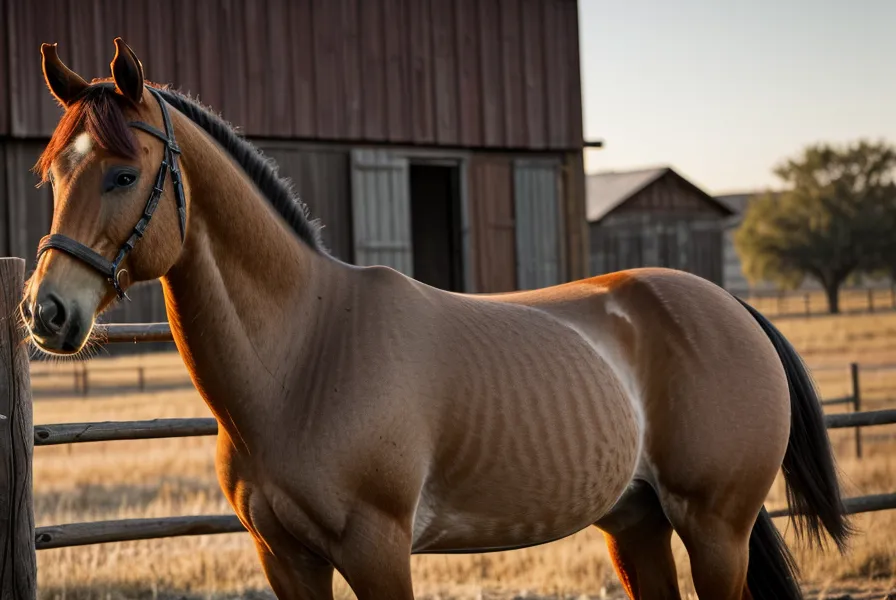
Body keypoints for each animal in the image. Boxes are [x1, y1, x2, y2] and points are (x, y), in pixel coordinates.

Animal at [21, 37, 851, 599]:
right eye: (52, 173)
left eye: (124, 173)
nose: (45, 311)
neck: (303, 357)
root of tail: (731, 307)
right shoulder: (285, 558)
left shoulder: (378, 552)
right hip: (638, 523)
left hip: (716, 528)